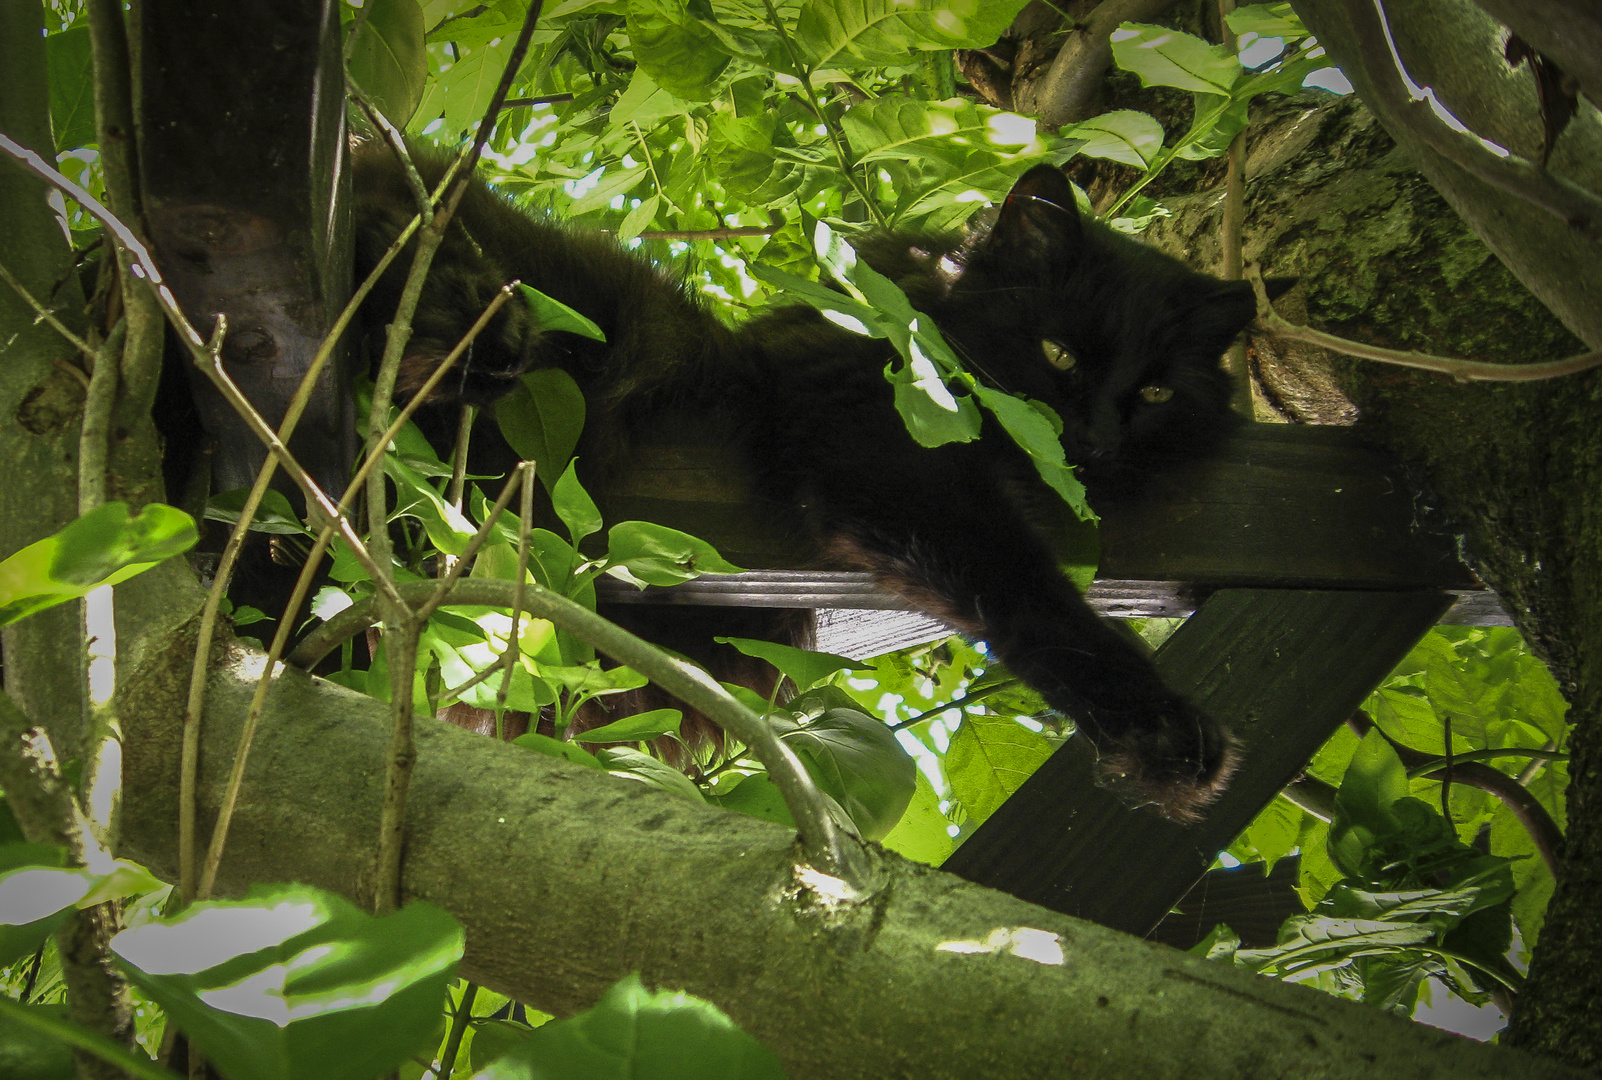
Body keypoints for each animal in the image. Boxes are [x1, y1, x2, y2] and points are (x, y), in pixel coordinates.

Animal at [357, 142, 1268, 817]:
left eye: (1156, 393)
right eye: (1060, 354)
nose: (1095, 438)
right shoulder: (876, 448)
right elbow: (1032, 593)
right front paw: (1165, 735)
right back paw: (473, 329)